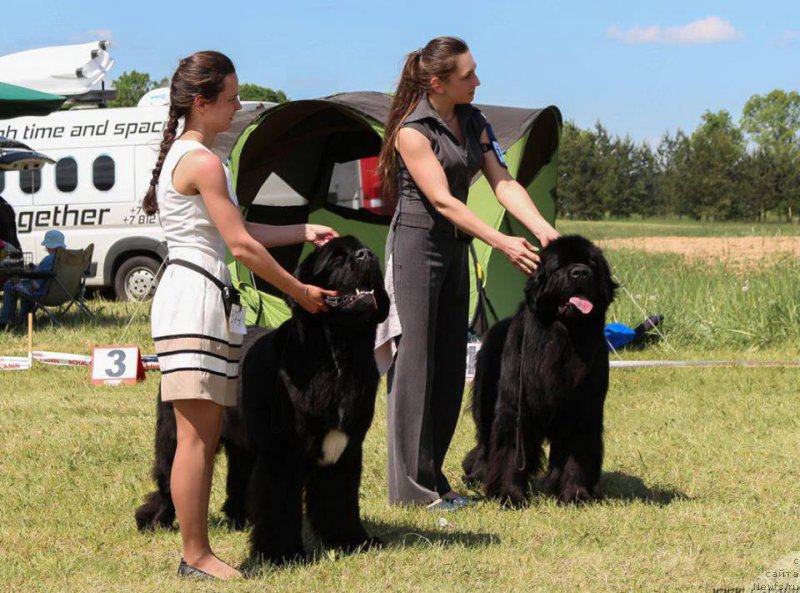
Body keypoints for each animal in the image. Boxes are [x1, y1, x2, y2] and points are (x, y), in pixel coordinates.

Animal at [137, 236, 390, 564]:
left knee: (239, 477)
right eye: (336, 259)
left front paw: (352, 541)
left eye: (363, 249)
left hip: (242, 442)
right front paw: (283, 554)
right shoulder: (282, 451)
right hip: (178, 429)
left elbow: (340, 499)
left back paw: (239, 518)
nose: (367, 254)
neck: (338, 354)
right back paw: (154, 519)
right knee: (168, 476)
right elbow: (279, 503)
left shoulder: (345, 449)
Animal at [462, 234, 620, 506]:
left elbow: (578, 452)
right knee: (485, 442)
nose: (580, 272)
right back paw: (476, 474)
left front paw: (576, 494)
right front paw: (509, 494)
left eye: (592, 265)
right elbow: (510, 451)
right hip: (486, 400)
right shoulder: (515, 408)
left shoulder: (584, 409)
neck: (565, 335)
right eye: (560, 265)